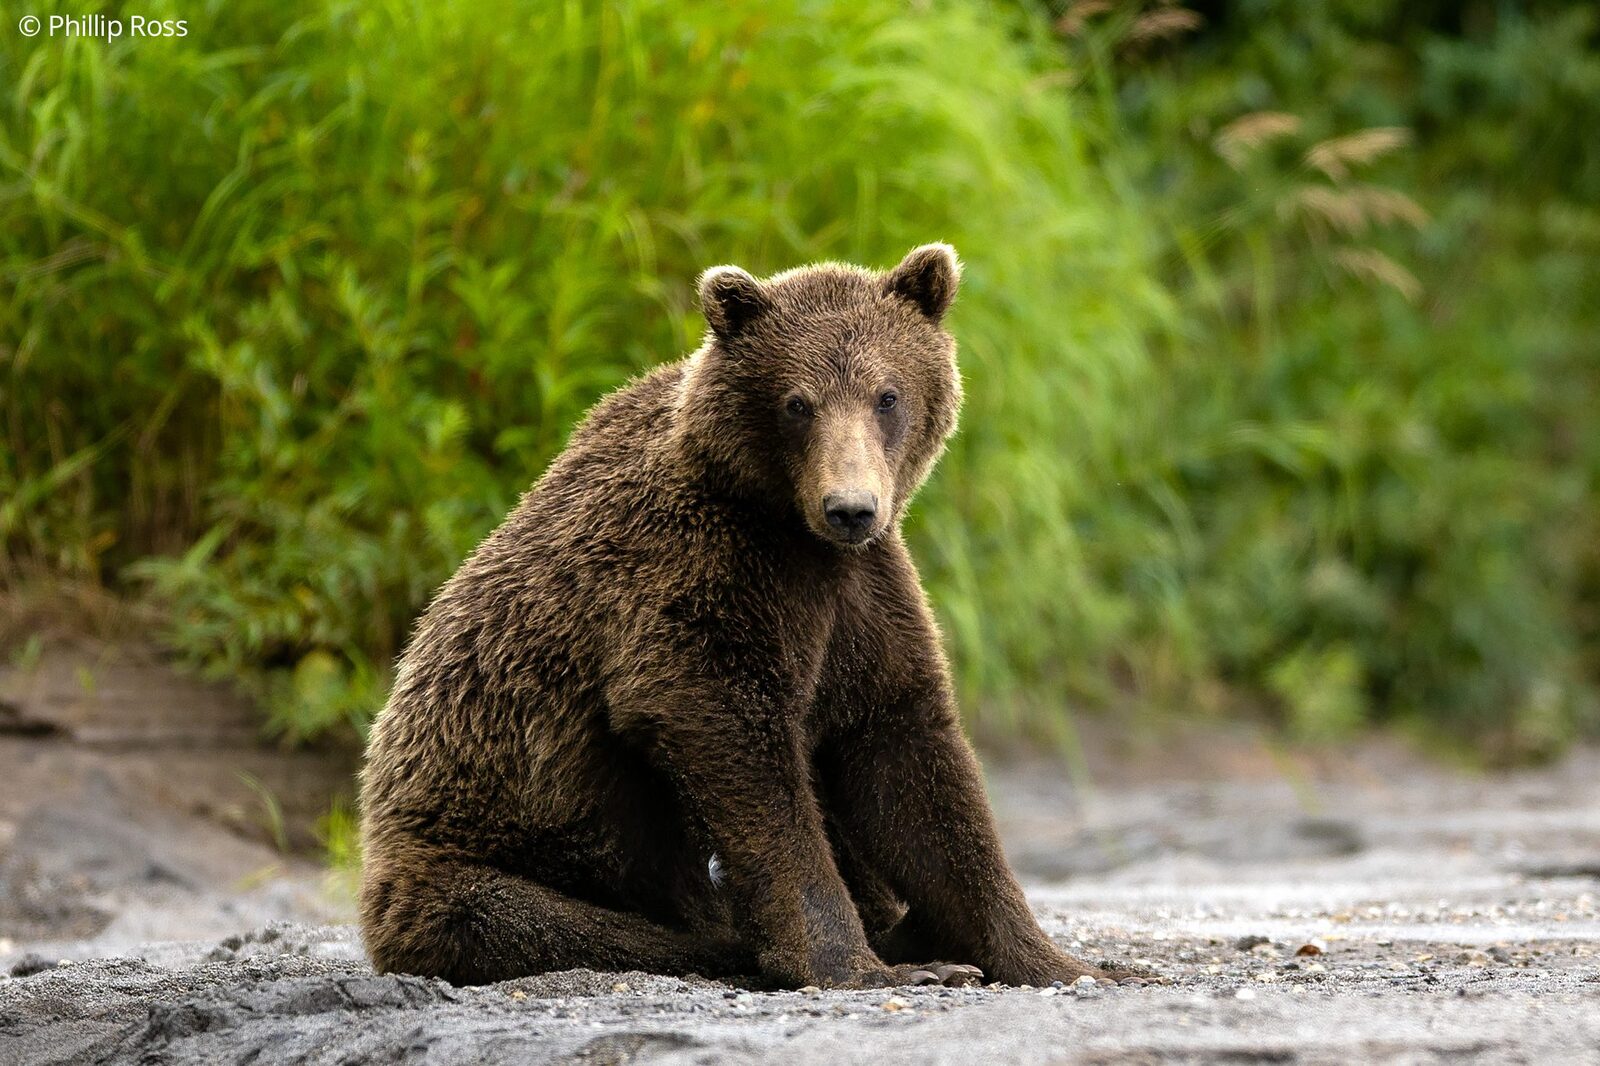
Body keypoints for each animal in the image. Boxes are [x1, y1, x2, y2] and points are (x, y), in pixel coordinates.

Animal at [358, 244, 1110, 990]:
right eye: (798, 403)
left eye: (887, 396)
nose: (851, 508)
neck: (791, 525)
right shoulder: (702, 571)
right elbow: (733, 740)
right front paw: (857, 963)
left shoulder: (862, 597)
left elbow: (911, 757)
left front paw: (1061, 960)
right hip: (473, 860)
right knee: (563, 922)